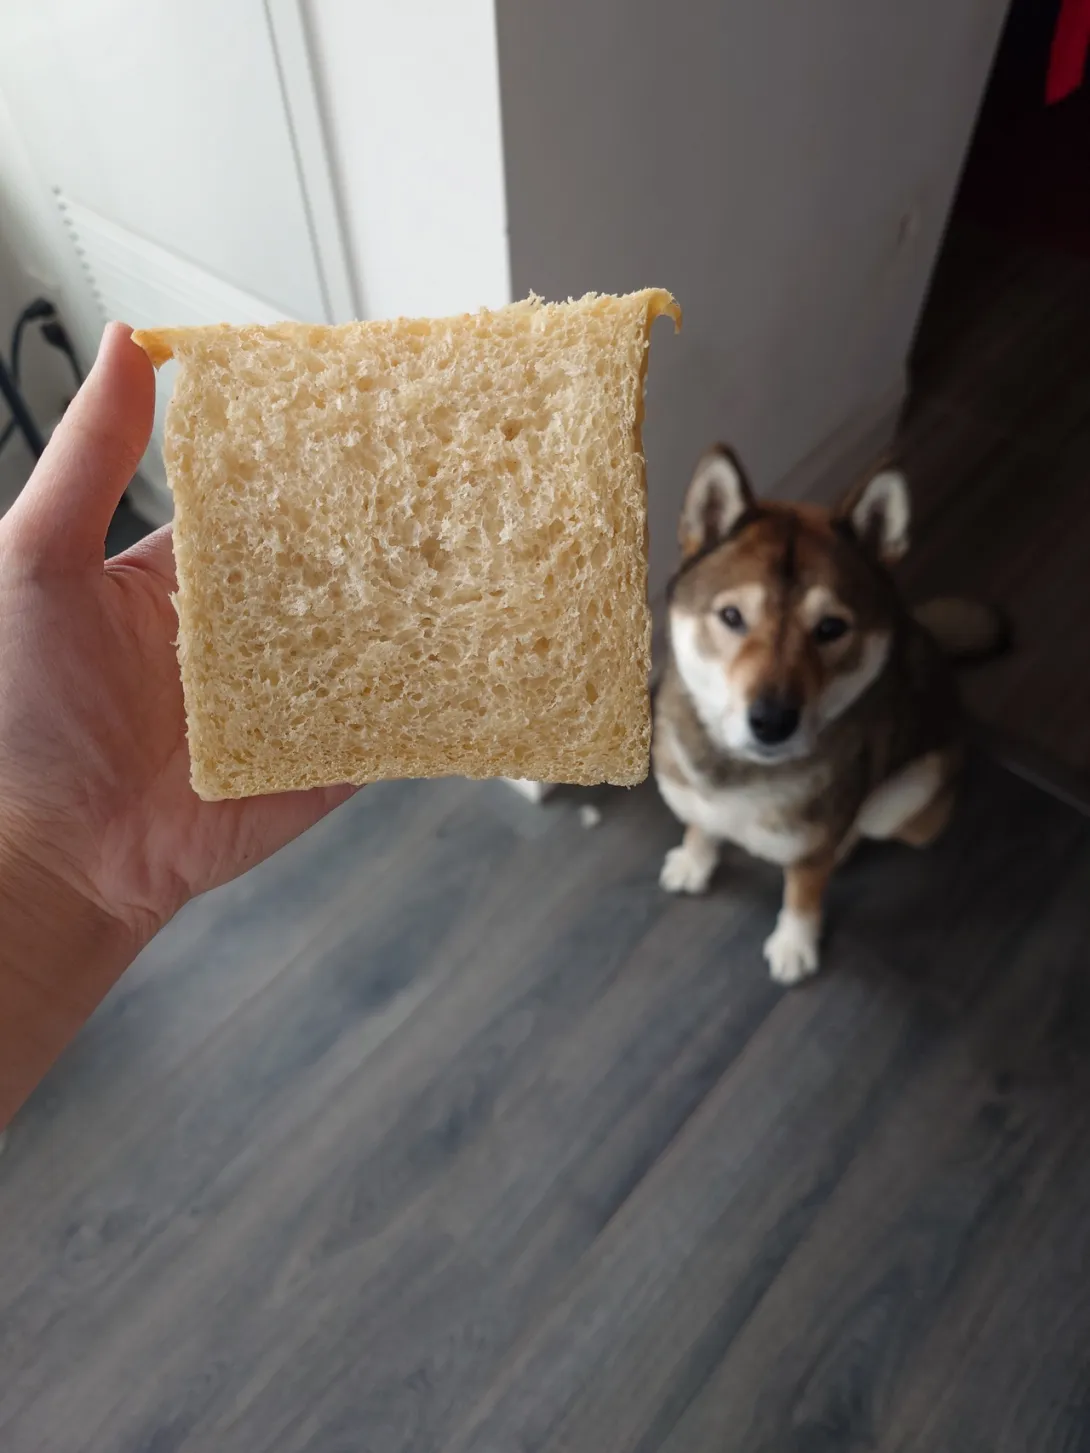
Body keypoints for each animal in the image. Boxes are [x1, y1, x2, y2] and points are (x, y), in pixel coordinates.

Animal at [656, 444, 1005, 988]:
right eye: (732, 616)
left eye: (831, 628)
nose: (772, 721)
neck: (742, 772)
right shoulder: (692, 794)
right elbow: (700, 823)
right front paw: (695, 860)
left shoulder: (813, 851)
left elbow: (803, 892)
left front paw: (794, 944)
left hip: (911, 794)